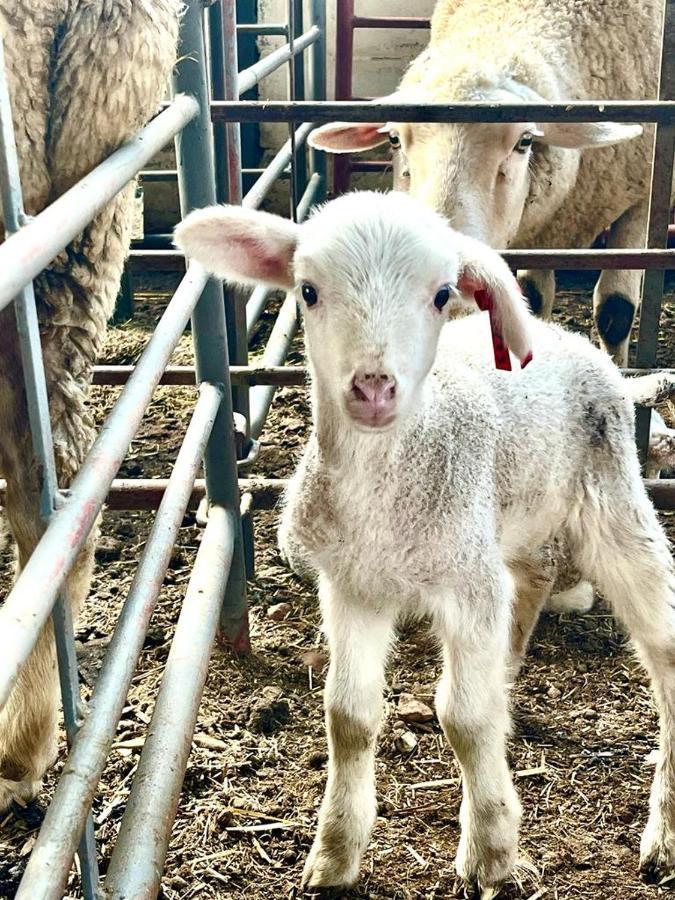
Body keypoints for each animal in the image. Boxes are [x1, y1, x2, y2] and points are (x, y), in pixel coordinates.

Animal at [174, 192, 675, 892]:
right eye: (308, 291)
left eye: (442, 295)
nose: (373, 386)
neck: (387, 498)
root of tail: (572, 342)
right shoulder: (351, 586)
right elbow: (348, 717)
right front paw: (334, 853)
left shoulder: (464, 583)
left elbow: (463, 718)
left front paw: (490, 848)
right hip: (509, 516)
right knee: (533, 577)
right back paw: (508, 670)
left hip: (610, 501)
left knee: (663, 651)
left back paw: (663, 833)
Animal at [312, 0, 672, 368]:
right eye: (395, 139)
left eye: (525, 141)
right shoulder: (542, 230)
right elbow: (533, 299)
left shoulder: (642, 200)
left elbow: (616, 312)